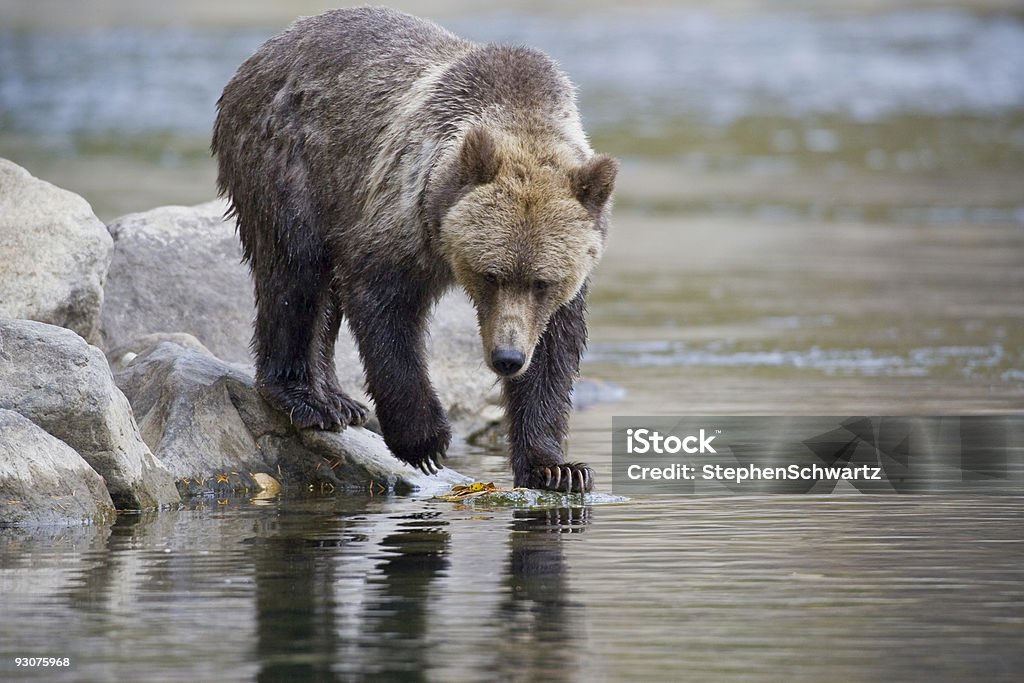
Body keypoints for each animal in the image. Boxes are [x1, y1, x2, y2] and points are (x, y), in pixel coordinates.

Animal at [211, 5, 614, 491]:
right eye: (490, 274)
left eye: (543, 282)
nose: (507, 358)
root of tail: (262, 52)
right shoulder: (403, 210)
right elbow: (384, 305)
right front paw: (425, 440)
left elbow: (553, 353)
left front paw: (556, 467)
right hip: (290, 164)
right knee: (295, 273)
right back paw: (308, 399)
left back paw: (339, 399)